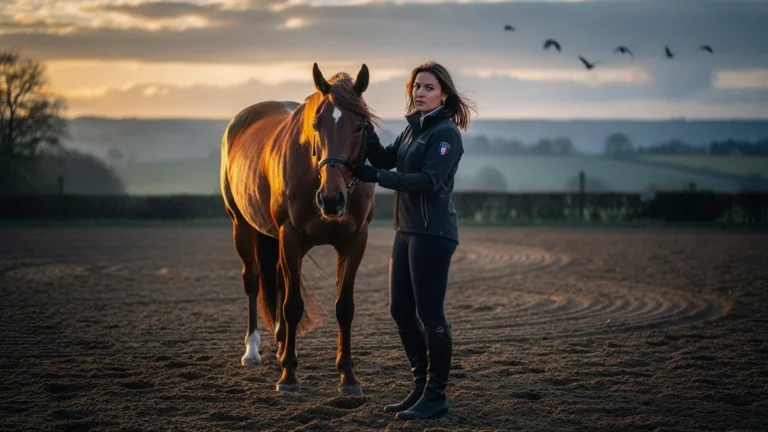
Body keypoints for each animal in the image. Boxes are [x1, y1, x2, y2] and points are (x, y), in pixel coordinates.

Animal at [219, 62, 381, 395]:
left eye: (361, 126)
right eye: (317, 124)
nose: (331, 199)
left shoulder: (354, 241)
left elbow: (344, 307)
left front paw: (348, 377)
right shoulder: (291, 238)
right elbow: (292, 306)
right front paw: (289, 377)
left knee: (278, 281)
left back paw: (283, 346)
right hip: (241, 227)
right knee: (253, 280)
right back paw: (253, 351)